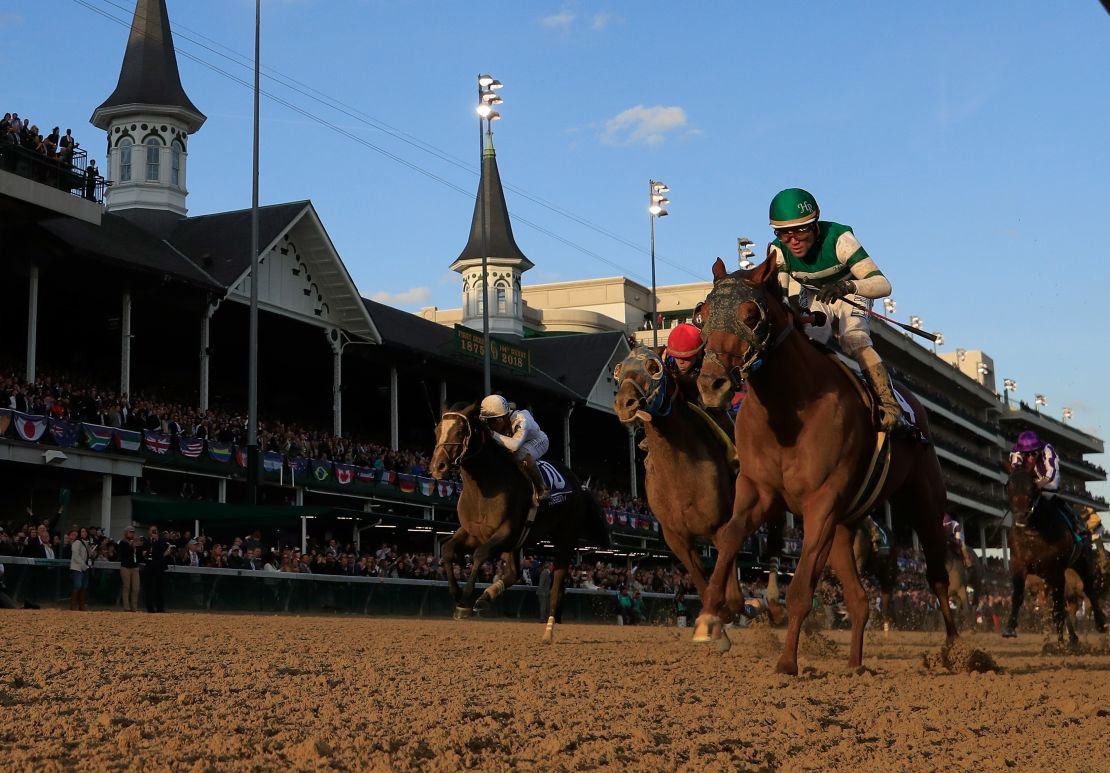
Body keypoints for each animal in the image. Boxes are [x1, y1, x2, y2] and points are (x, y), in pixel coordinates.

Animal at [428, 402, 612, 644]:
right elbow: (448, 550)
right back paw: (487, 596)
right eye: (437, 430)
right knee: (514, 573)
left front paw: (465, 601)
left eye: (459, 431)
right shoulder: (474, 533)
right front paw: (458, 594)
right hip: (517, 543)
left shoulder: (506, 532)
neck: (484, 488)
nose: (437, 467)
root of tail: (579, 484)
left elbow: (479, 555)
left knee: (556, 586)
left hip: (565, 538)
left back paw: (548, 630)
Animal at [617, 346, 745, 644]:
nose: (624, 403)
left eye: (654, 368)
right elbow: (701, 579)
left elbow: (728, 576)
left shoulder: (721, 524)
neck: (679, 472)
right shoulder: (676, 536)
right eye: (618, 369)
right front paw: (713, 624)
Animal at [688, 256, 959, 675]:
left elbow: (801, 587)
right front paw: (710, 618)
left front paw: (787, 662)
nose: (711, 384)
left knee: (937, 576)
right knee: (860, 598)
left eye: (750, 314)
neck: (788, 407)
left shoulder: (821, 502)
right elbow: (729, 536)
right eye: (701, 315)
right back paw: (855, 665)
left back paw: (955, 651)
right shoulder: (758, 489)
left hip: (924, 503)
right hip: (846, 526)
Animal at [1003, 462, 1105, 644]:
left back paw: (1100, 624)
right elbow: (1018, 595)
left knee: (1089, 590)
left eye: (1032, 486)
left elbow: (1058, 608)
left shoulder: (1056, 571)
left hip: (1081, 561)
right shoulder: (1018, 564)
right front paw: (1010, 627)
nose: (1021, 516)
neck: (1033, 532)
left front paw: (1061, 643)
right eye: (1008, 486)